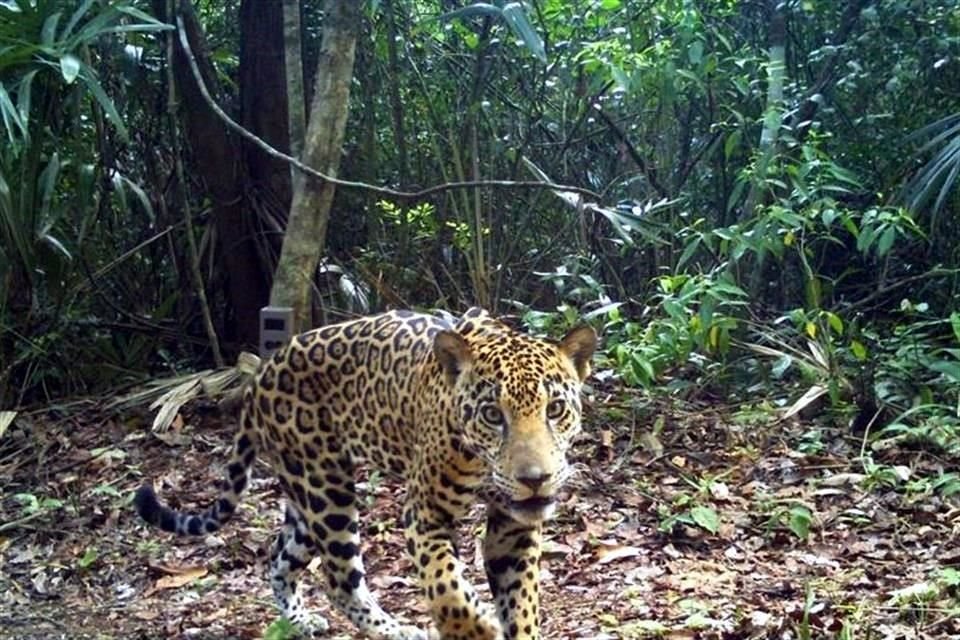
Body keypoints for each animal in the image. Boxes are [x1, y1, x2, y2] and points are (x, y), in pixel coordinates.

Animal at [135, 307, 597, 640]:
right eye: (492, 415)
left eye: (555, 409)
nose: (535, 479)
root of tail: (262, 374)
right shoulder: (425, 513)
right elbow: (447, 588)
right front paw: (478, 626)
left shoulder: (513, 527)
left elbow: (520, 603)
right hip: (327, 490)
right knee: (339, 578)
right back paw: (398, 631)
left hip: (304, 495)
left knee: (280, 557)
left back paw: (299, 621)